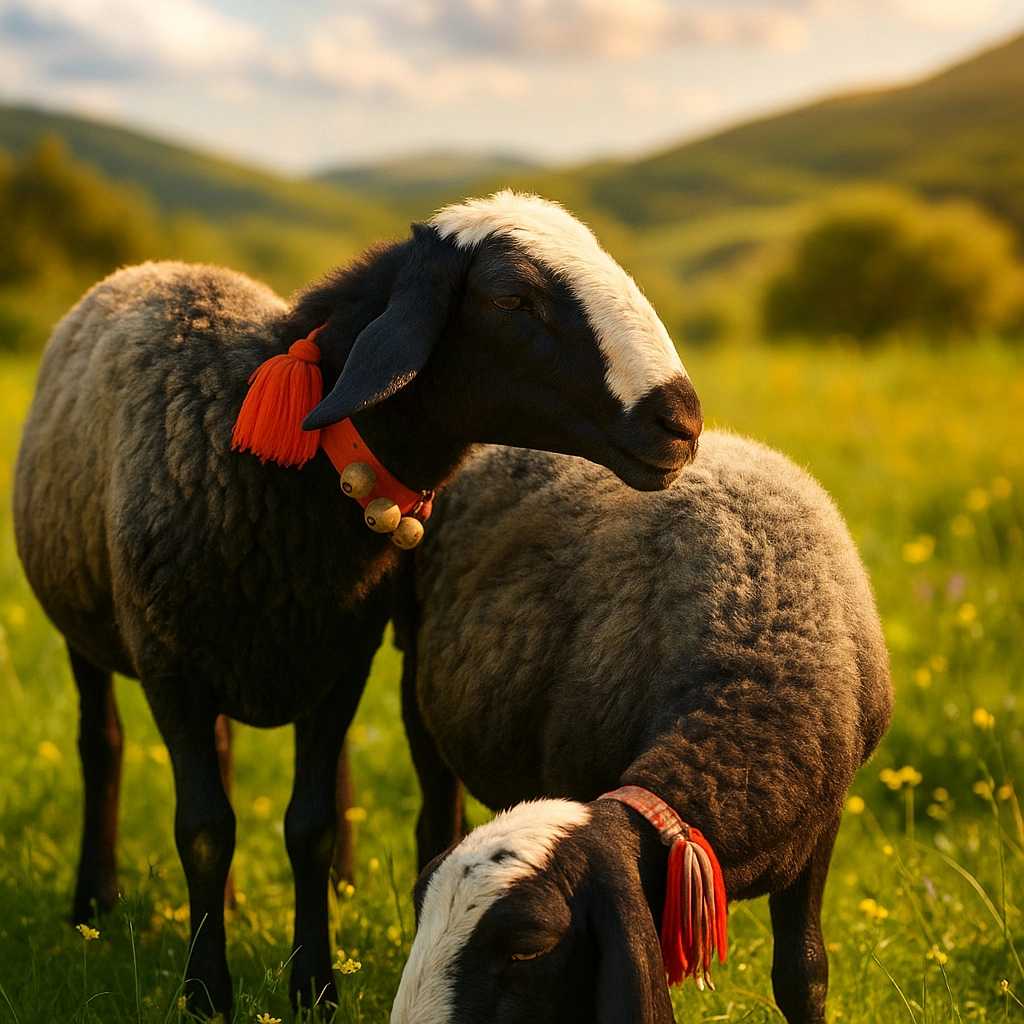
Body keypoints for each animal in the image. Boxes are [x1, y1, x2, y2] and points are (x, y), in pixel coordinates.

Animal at [13, 191, 702, 1016]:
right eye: (511, 298)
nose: (681, 420)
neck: (271, 471)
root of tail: (152, 266)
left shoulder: (340, 661)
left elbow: (306, 827)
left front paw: (314, 985)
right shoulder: (167, 663)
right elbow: (204, 828)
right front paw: (207, 993)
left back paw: (228, 903)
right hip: (88, 631)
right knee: (103, 744)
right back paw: (94, 899)